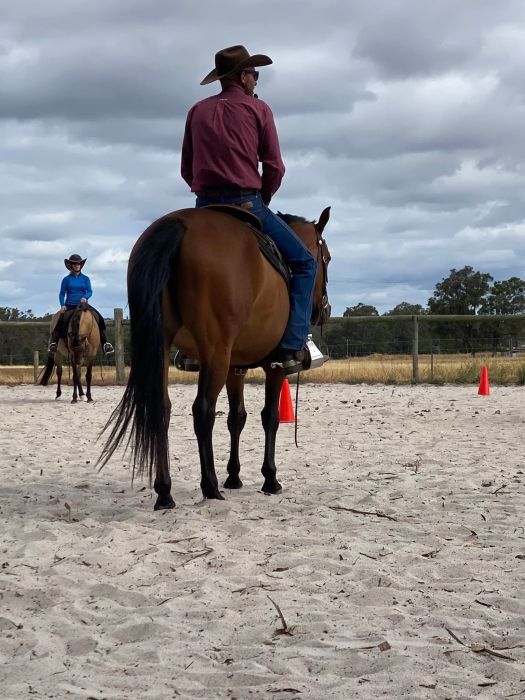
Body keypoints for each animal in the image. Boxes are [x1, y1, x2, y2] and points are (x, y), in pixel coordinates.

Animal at [100, 206, 330, 508]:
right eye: (327, 258)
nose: (324, 310)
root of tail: (178, 224)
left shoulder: (235, 367)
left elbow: (237, 417)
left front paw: (234, 476)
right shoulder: (273, 367)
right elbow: (269, 417)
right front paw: (270, 478)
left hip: (164, 345)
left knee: (162, 407)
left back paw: (165, 492)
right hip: (215, 352)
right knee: (203, 410)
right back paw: (209, 486)